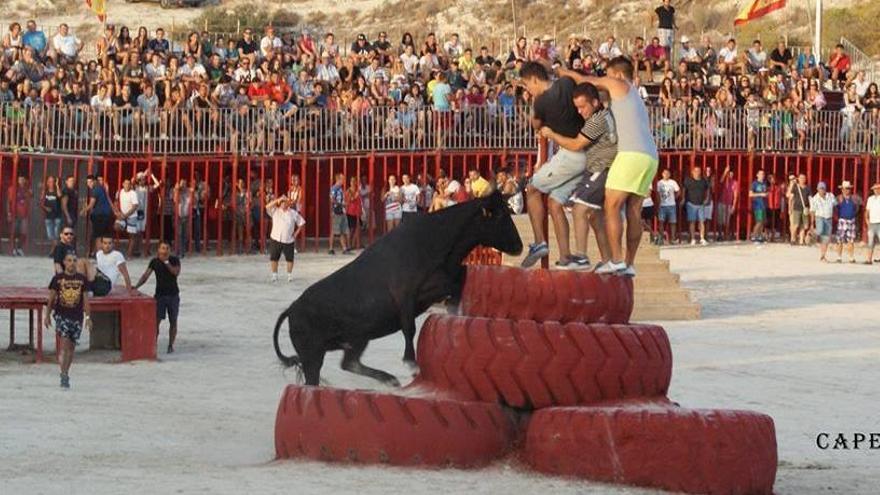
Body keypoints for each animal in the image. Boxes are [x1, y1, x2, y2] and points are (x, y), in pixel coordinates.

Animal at [276, 192, 524, 390]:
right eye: (499, 216)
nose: (519, 246)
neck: (436, 241)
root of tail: (292, 308)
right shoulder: (405, 295)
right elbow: (409, 327)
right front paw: (411, 364)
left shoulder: (439, 283)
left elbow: (460, 278)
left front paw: (455, 310)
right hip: (312, 355)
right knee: (317, 379)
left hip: (357, 338)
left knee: (349, 362)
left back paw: (389, 379)